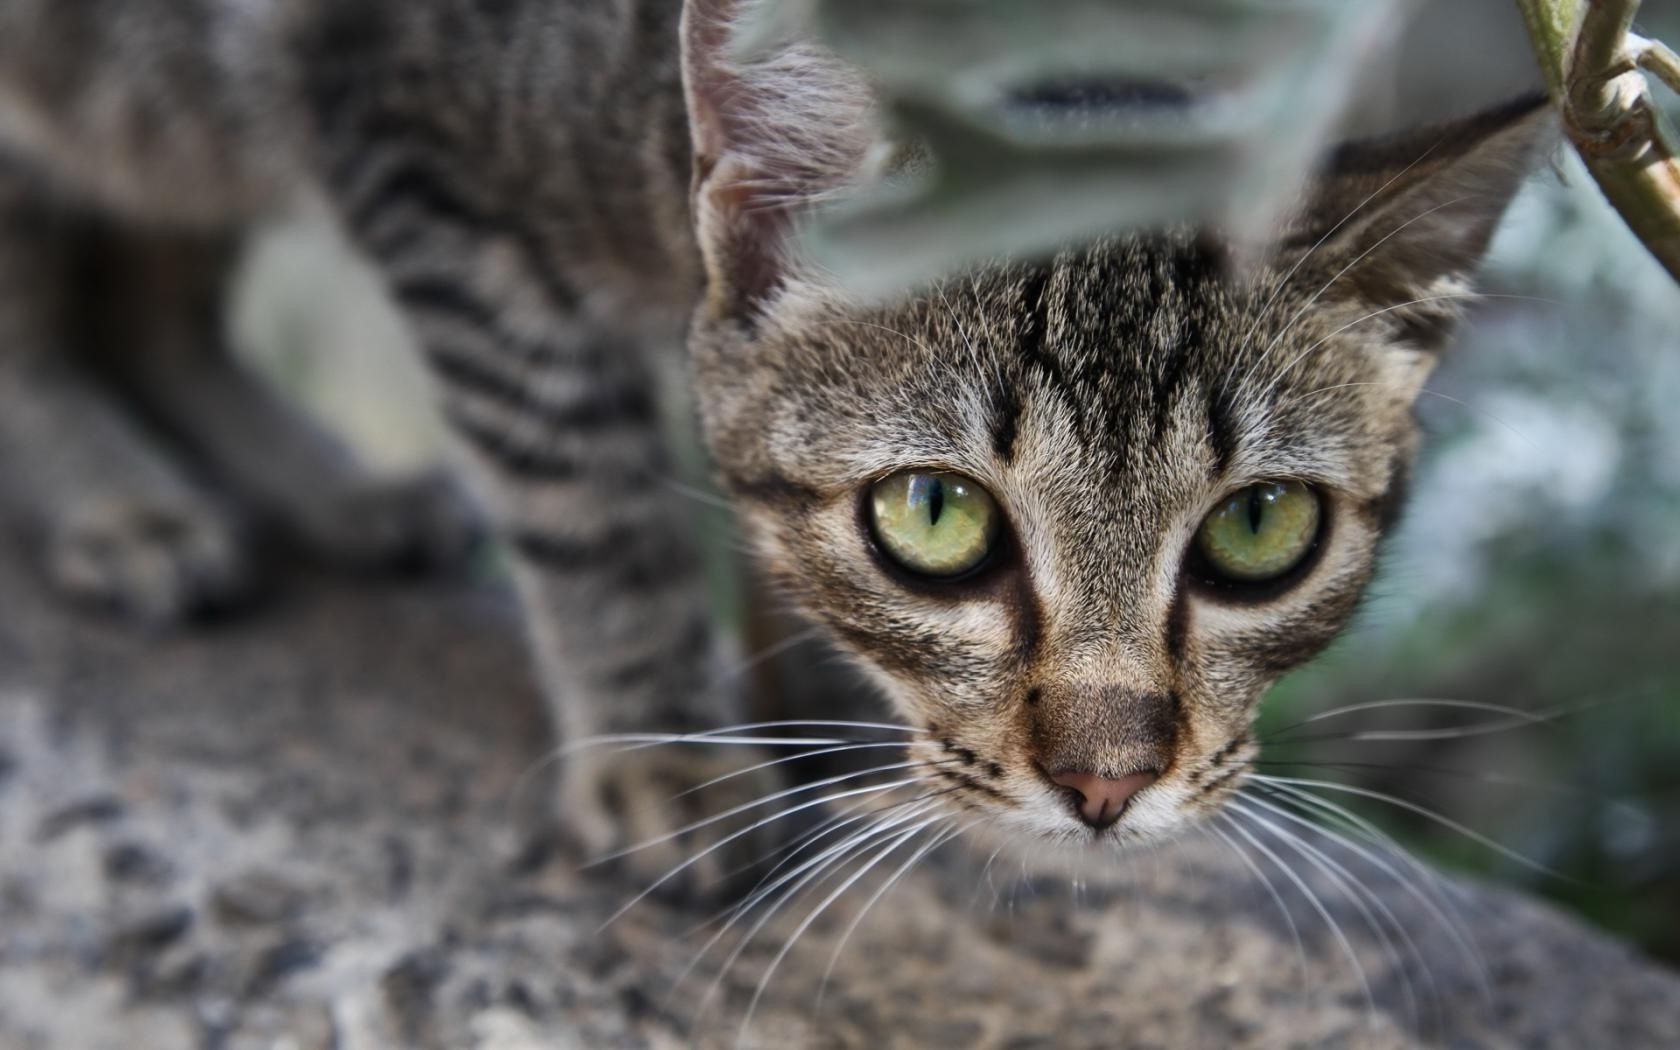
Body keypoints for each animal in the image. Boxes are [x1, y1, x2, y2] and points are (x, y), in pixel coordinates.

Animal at [0, 0, 1545, 873]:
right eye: (934, 516)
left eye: (1258, 529)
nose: (1107, 786)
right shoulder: (428, 163)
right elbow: (583, 495)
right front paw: (661, 747)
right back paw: (120, 501)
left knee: (150, 277)